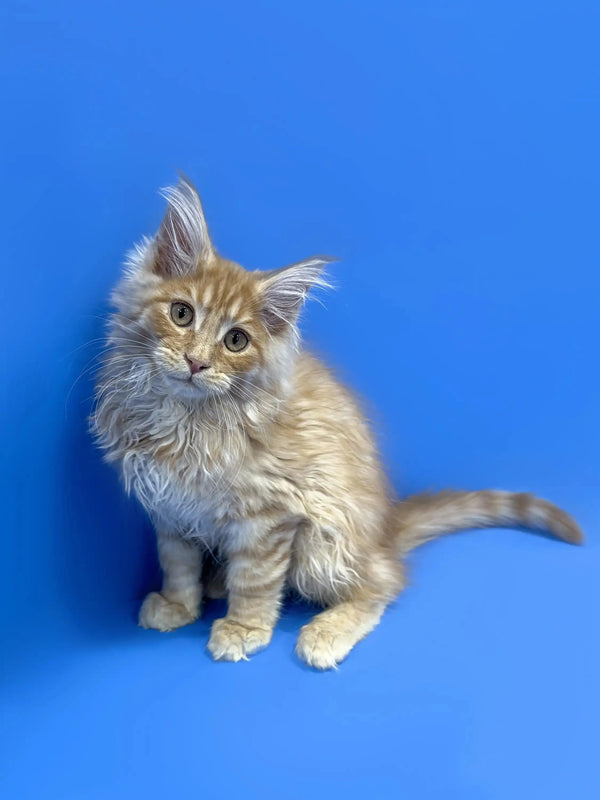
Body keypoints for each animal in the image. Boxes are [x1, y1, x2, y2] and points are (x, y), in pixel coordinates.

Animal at [92, 175, 580, 668]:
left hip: (324, 540)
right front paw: (178, 605)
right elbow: (177, 563)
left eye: (236, 341)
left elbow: (256, 580)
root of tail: (384, 531)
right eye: (181, 313)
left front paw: (244, 628)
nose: (196, 363)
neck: (184, 419)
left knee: (382, 582)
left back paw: (326, 631)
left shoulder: (271, 512)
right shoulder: (169, 508)